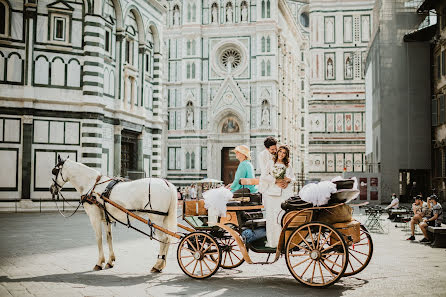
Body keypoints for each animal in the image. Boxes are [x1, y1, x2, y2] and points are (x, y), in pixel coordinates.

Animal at [49, 156, 178, 272]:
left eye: (54, 171)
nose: (51, 189)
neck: (91, 185)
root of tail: (167, 183)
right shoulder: (106, 218)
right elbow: (109, 237)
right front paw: (110, 261)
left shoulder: (94, 217)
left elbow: (99, 238)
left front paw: (99, 262)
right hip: (164, 219)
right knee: (168, 238)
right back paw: (161, 264)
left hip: (156, 218)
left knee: (164, 239)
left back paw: (157, 265)